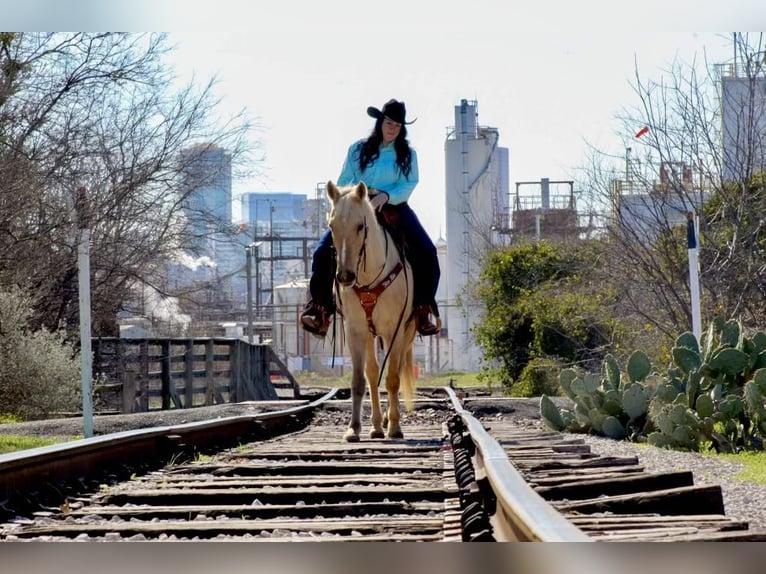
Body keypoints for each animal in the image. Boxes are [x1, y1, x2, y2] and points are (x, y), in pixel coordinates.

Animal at [326, 182, 416, 444]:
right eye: (331, 226)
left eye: (360, 225)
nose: (345, 276)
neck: (369, 278)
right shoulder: (355, 330)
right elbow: (359, 380)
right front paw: (353, 429)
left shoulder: (395, 330)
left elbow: (393, 378)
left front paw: (395, 427)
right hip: (369, 334)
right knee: (373, 372)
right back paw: (376, 426)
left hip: (406, 332)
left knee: (395, 370)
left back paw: (386, 421)